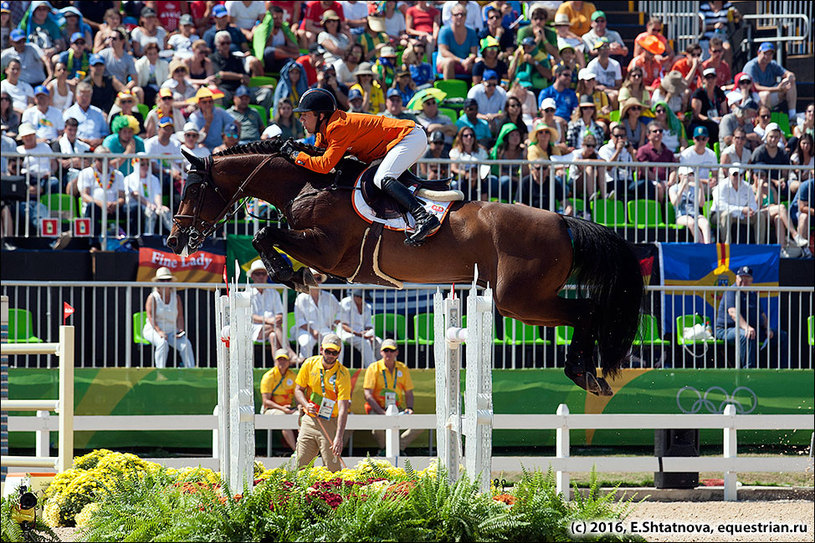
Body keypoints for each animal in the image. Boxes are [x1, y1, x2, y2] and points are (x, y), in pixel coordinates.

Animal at [171, 139, 644, 396]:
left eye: (192, 191)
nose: (176, 240)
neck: (310, 184)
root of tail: (563, 220)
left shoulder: (328, 250)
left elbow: (265, 234)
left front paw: (294, 275)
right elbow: (266, 236)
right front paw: (295, 275)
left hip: (521, 300)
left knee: (585, 311)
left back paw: (584, 374)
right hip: (521, 303)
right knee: (583, 313)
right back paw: (588, 375)